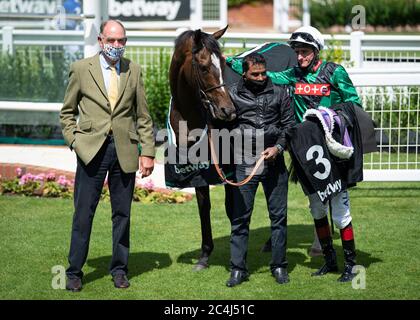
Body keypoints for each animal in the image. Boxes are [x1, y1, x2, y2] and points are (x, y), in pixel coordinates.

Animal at [169, 26, 238, 270]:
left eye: (224, 63)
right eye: (204, 66)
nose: (228, 111)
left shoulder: (228, 169)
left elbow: (231, 207)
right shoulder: (198, 169)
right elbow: (203, 205)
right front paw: (205, 255)